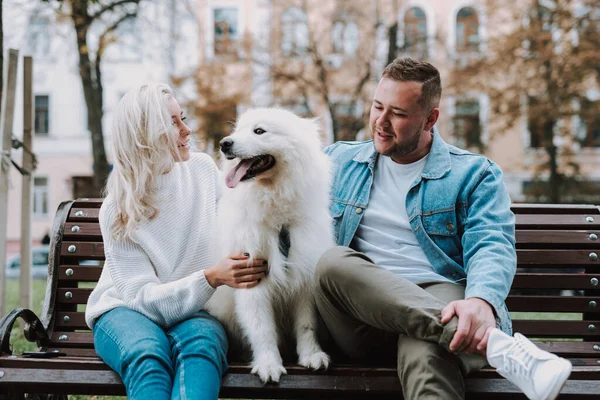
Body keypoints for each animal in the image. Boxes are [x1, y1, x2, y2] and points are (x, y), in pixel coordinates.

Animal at [206, 108, 332, 382]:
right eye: (238, 130)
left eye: (259, 131)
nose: (224, 143)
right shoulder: (251, 278)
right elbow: (261, 328)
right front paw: (268, 364)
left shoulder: (304, 278)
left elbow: (307, 325)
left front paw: (311, 356)